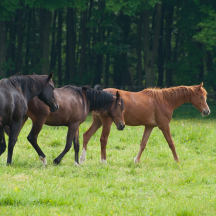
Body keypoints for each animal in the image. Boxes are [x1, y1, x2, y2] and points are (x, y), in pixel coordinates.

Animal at [80, 82, 210, 164]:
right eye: (201, 96)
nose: (207, 111)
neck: (165, 100)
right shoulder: (164, 126)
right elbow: (171, 143)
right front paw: (177, 160)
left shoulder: (149, 126)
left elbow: (143, 144)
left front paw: (136, 161)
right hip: (106, 123)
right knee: (103, 140)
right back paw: (103, 161)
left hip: (97, 122)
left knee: (86, 136)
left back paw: (81, 160)